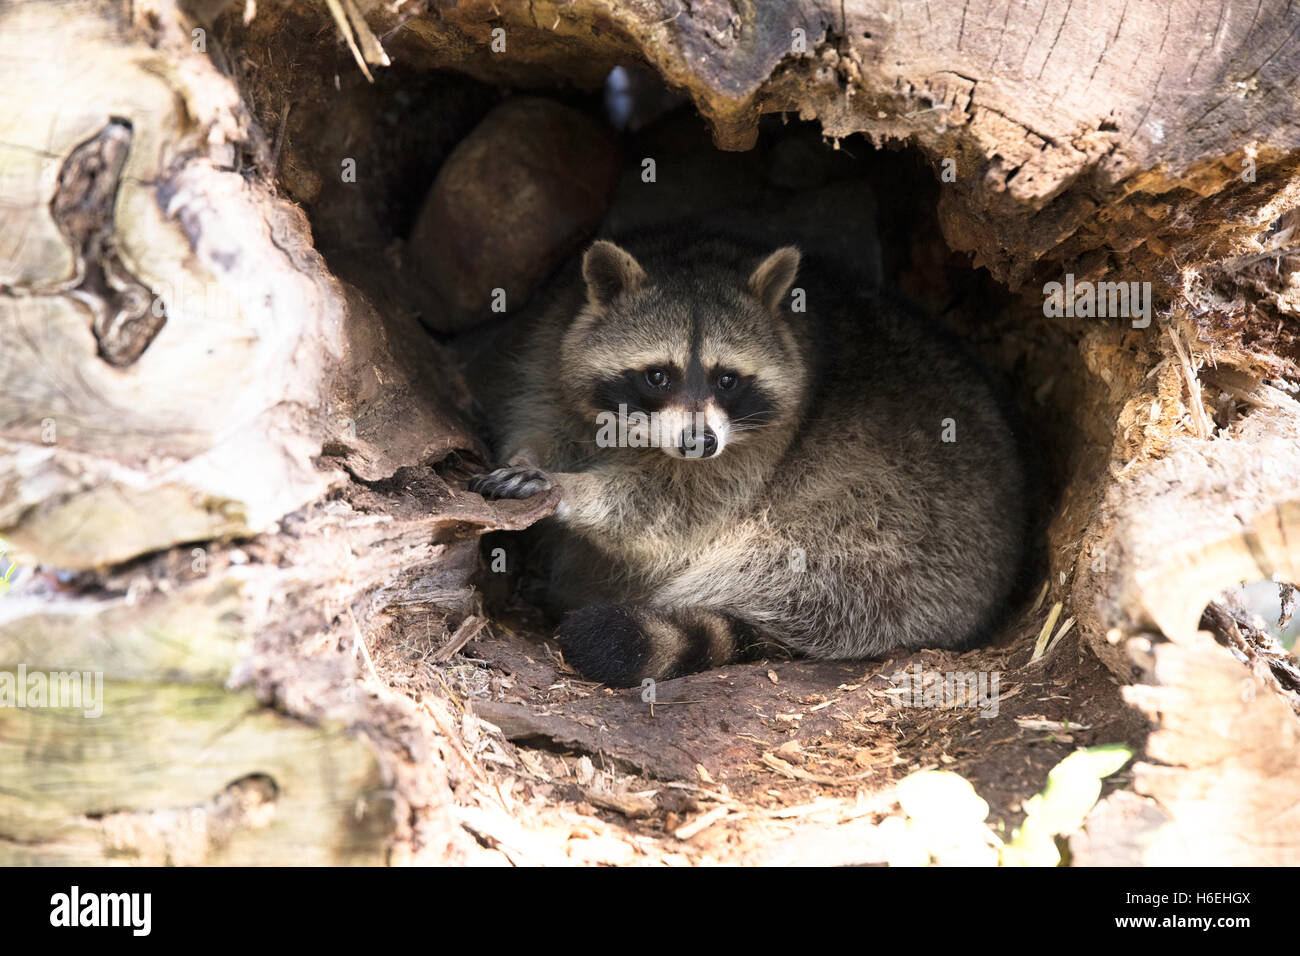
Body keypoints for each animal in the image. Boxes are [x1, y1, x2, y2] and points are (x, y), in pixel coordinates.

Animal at [467, 231, 1024, 686]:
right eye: (657, 376)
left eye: (728, 379)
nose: (700, 443)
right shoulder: (549, 344)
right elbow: (542, 420)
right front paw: (532, 457)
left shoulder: (768, 439)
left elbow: (674, 508)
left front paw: (573, 490)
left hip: (899, 535)